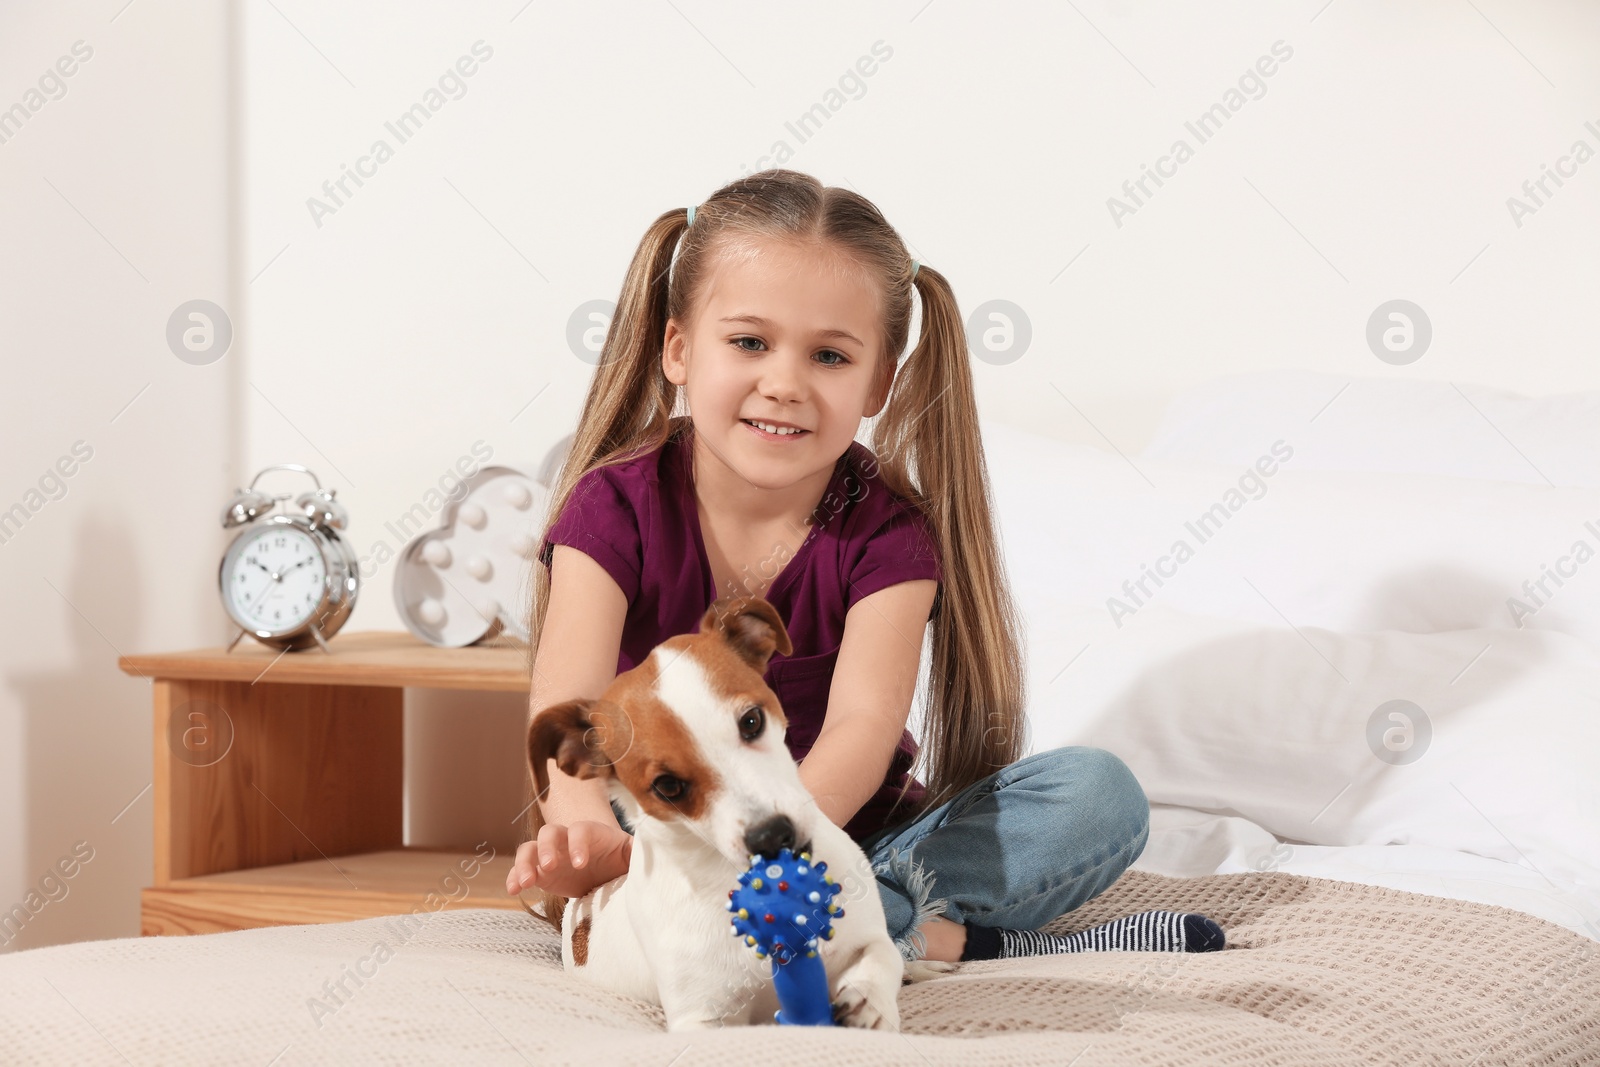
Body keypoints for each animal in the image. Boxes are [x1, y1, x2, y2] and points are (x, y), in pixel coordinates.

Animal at [524, 598, 947, 1030]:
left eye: (751, 721)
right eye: (667, 786)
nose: (772, 836)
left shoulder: (863, 938)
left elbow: (881, 957)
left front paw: (870, 1003)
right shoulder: (703, 1019)